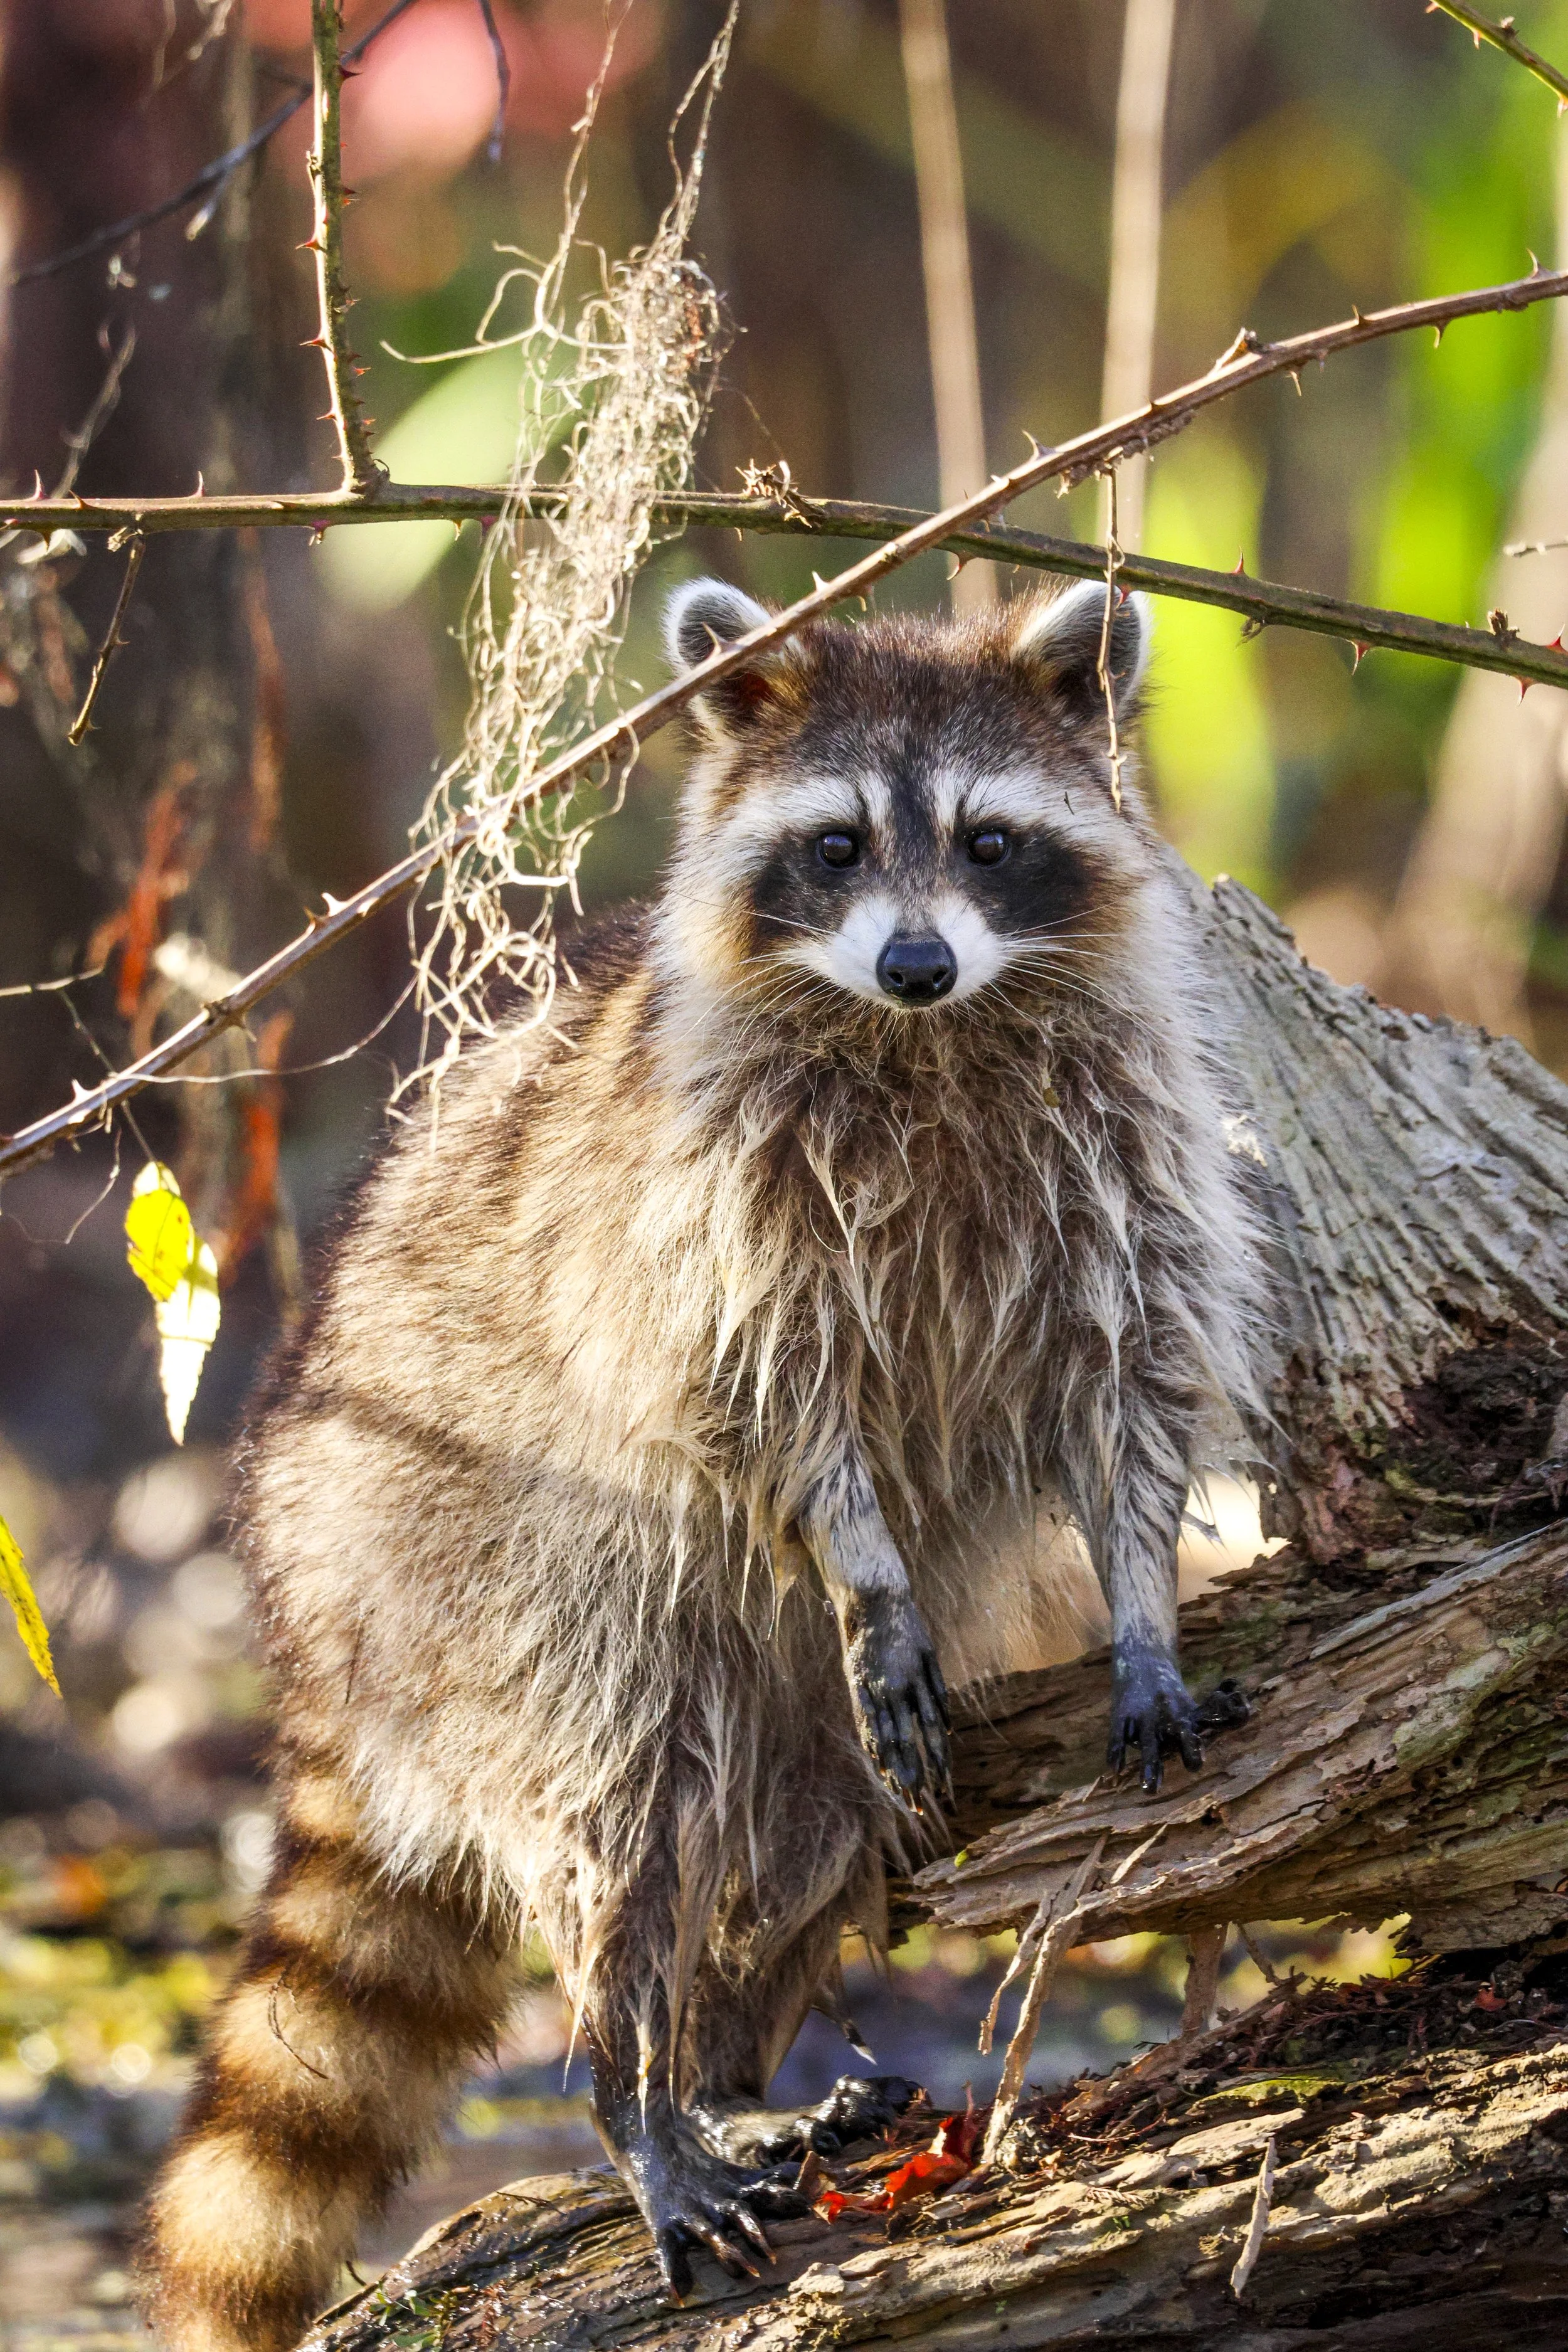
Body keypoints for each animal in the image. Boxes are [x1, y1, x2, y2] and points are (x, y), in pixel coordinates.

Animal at [142, 578, 1258, 2346]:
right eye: (837, 847)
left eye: (989, 841)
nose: (918, 962)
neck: (927, 1035)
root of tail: (307, 1607)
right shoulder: (715, 1201)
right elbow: (773, 1398)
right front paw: (867, 1572)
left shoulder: (1117, 1147)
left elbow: (1124, 1375)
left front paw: (1142, 1598)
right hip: (493, 1572)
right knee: (620, 1805)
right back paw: (632, 2092)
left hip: (747, 1697)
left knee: (796, 1829)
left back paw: (726, 2069)